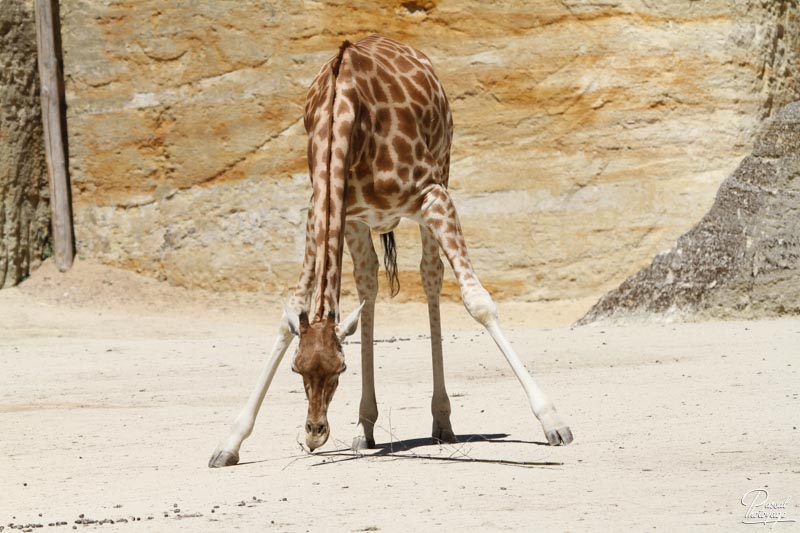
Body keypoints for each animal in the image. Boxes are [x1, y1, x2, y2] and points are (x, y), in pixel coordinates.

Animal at [209, 34, 572, 466]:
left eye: (340, 370)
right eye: (297, 370)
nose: (315, 433)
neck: (344, 111)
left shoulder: (432, 195)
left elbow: (478, 301)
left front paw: (553, 422)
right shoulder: (326, 210)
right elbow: (290, 314)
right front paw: (229, 443)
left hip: (442, 171)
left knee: (431, 276)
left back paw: (442, 423)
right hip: (363, 221)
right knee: (369, 284)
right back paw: (364, 429)